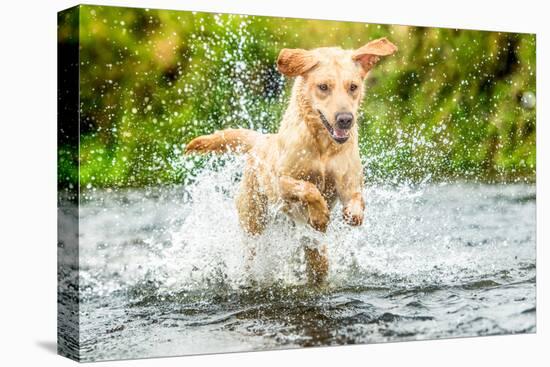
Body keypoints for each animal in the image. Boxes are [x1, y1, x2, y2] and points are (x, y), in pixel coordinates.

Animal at [188, 37, 398, 284]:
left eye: (353, 87)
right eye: (323, 87)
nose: (345, 119)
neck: (323, 146)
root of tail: (261, 140)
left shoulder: (350, 184)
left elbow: (356, 201)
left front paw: (351, 215)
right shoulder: (282, 183)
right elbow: (308, 188)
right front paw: (319, 214)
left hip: (310, 246)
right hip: (253, 221)